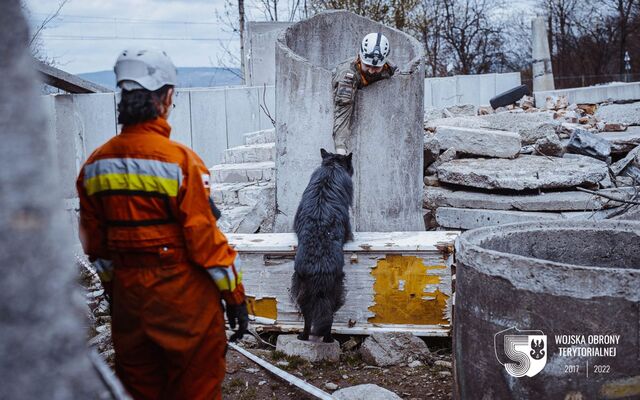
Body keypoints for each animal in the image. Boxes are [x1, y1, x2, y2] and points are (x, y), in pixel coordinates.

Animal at [292, 148, 356, 342]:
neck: (332, 167)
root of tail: (318, 268)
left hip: (303, 292)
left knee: (308, 317)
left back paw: (304, 336)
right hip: (336, 291)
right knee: (329, 317)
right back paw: (328, 338)